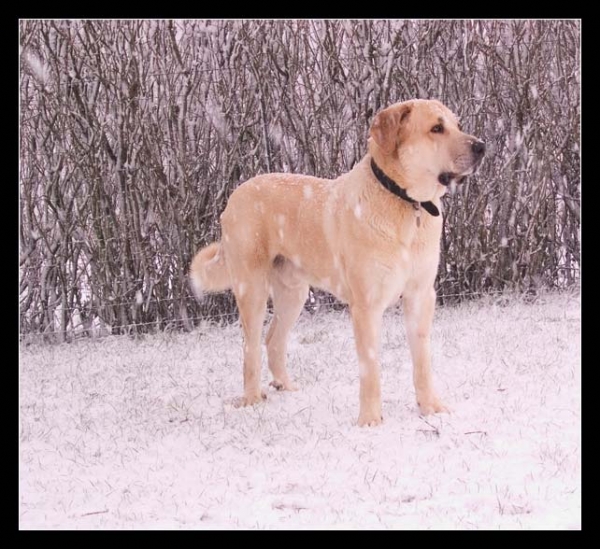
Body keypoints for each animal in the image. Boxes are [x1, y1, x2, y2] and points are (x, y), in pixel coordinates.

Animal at [190, 97, 486, 424]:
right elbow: (370, 368)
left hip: (294, 293)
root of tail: (234, 196)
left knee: (273, 339)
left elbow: (422, 360)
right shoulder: (366, 305)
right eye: (436, 128)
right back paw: (252, 400)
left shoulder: (420, 295)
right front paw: (370, 421)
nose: (481, 146)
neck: (405, 203)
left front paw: (430, 408)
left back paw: (287, 388)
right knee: (250, 346)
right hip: (251, 289)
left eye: (457, 125)